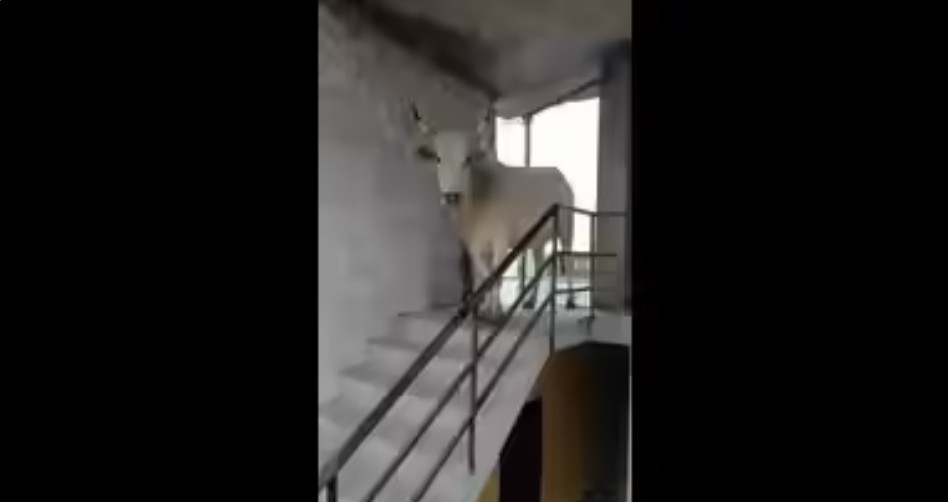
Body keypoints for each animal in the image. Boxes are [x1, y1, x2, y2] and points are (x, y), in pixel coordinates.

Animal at [410, 104, 576, 319]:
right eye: (438, 158)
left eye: (467, 159)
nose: (452, 196)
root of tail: (559, 174)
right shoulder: (473, 245)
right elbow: (484, 276)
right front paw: (483, 309)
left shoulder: (500, 240)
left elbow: (496, 275)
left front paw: (496, 311)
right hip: (536, 238)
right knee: (540, 261)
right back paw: (531, 301)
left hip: (567, 228)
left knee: (569, 259)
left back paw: (571, 300)